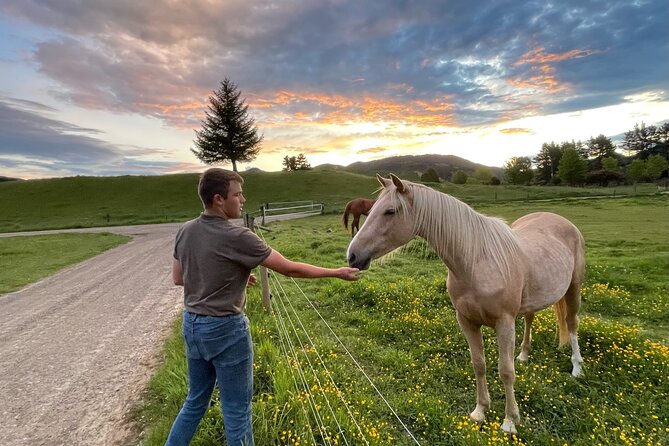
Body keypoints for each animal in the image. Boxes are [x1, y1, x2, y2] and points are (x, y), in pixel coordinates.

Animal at [348, 175, 580, 436]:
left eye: (390, 211)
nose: (353, 255)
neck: (476, 262)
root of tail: (560, 219)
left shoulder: (505, 323)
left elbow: (506, 371)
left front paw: (510, 420)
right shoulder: (466, 321)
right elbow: (478, 364)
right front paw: (480, 410)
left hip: (574, 287)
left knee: (572, 323)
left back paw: (577, 368)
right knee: (531, 319)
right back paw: (523, 355)